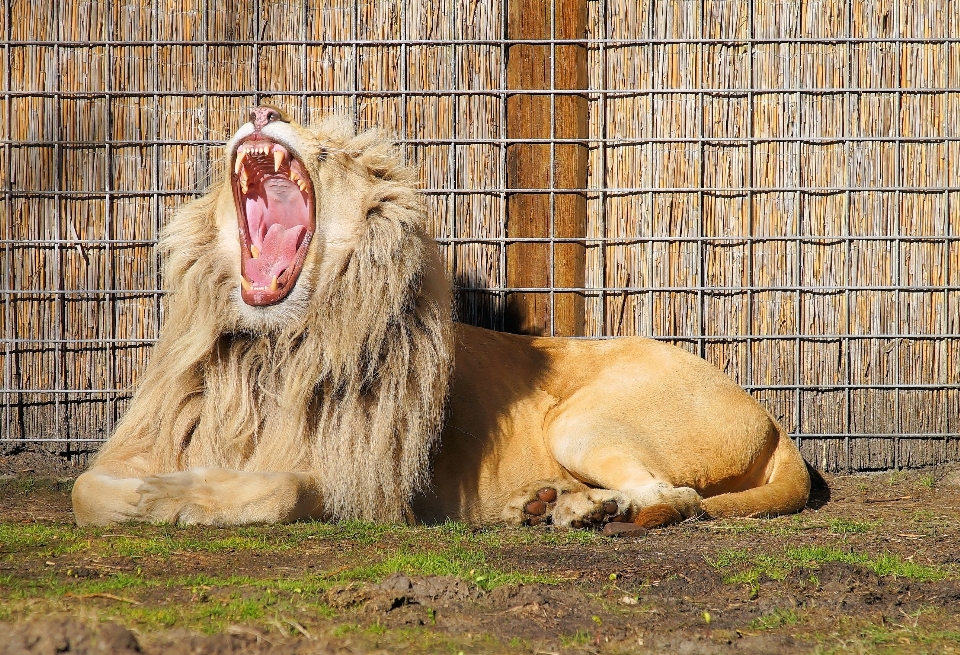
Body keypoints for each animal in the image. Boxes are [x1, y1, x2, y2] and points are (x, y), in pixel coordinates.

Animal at [73, 106, 808, 528]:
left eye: (329, 155)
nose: (262, 109)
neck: (269, 347)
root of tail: (771, 416)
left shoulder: (363, 483)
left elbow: (276, 492)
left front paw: (178, 497)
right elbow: (85, 489)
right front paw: (143, 495)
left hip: (582, 421)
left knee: (675, 497)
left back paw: (594, 510)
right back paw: (549, 505)